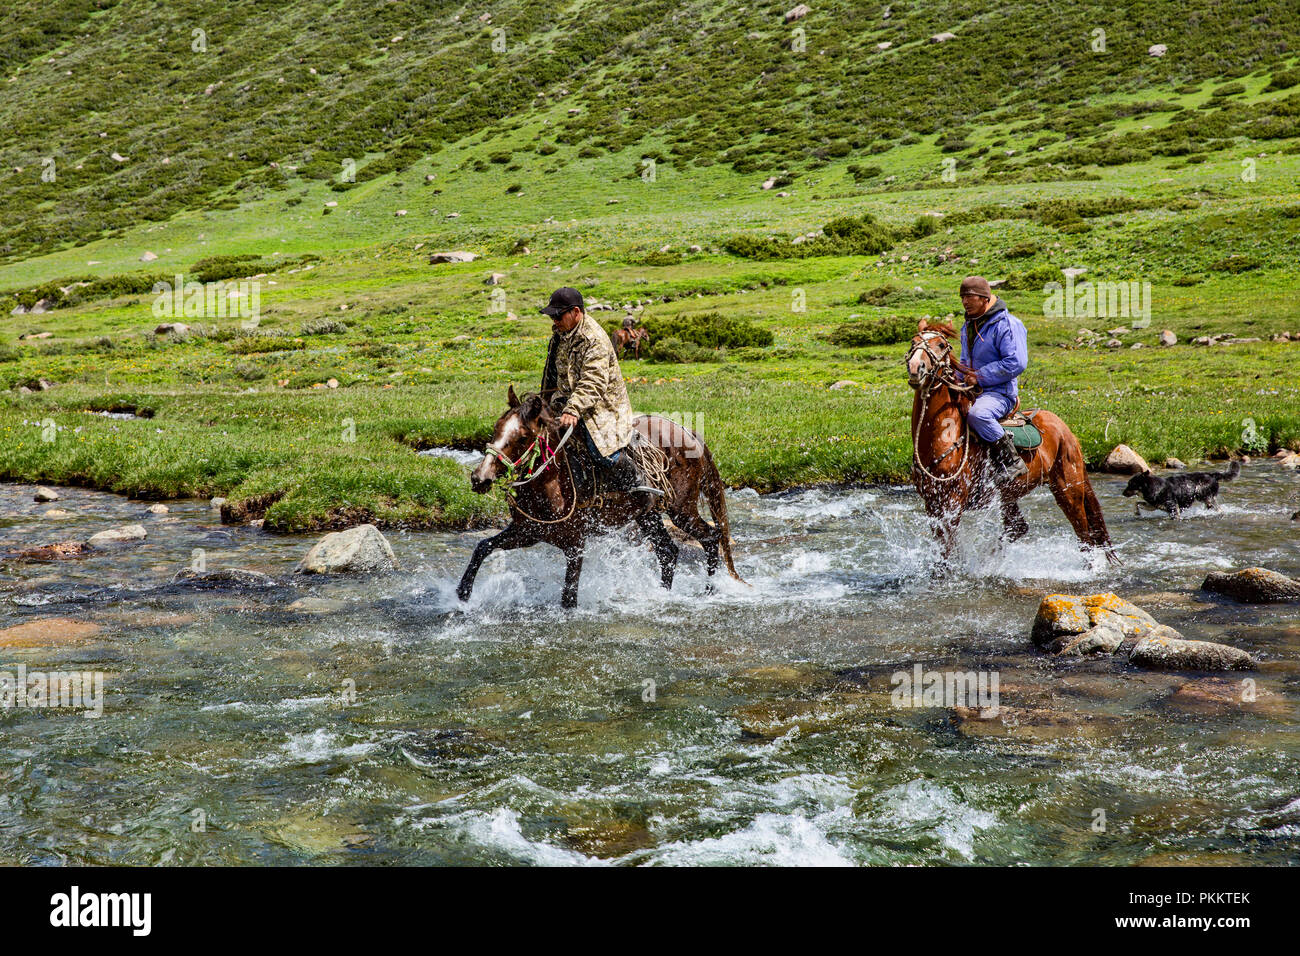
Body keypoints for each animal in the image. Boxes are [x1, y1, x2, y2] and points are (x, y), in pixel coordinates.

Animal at [457, 387, 743, 606]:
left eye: (523, 436)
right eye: (496, 428)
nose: (480, 478)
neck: (554, 484)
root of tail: (688, 432)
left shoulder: (575, 546)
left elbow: (568, 599)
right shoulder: (526, 532)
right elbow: (483, 546)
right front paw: (463, 593)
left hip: (681, 511)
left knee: (710, 537)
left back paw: (709, 591)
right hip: (648, 516)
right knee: (668, 551)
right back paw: (662, 595)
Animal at [904, 321, 1118, 564]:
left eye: (941, 345)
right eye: (913, 342)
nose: (916, 367)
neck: (942, 439)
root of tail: (1064, 429)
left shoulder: (952, 505)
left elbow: (948, 553)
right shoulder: (932, 506)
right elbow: (942, 552)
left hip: (1068, 490)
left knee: (1085, 538)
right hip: (1009, 495)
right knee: (1017, 527)